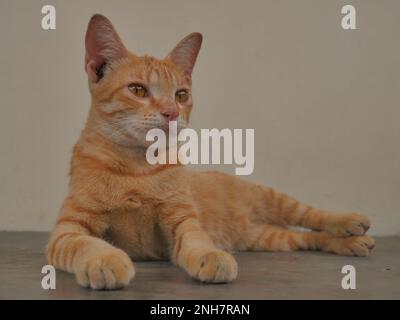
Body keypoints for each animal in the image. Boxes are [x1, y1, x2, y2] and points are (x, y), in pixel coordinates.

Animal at [45, 14, 374, 290]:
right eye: (137, 90)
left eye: (181, 95)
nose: (172, 113)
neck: (137, 169)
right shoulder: (68, 230)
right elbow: (86, 244)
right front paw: (105, 259)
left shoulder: (182, 221)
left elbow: (197, 240)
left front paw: (211, 256)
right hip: (266, 237)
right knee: (304, 237)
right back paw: (351, 243)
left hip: (272, 199)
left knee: (311, 214)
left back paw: (351, 224)